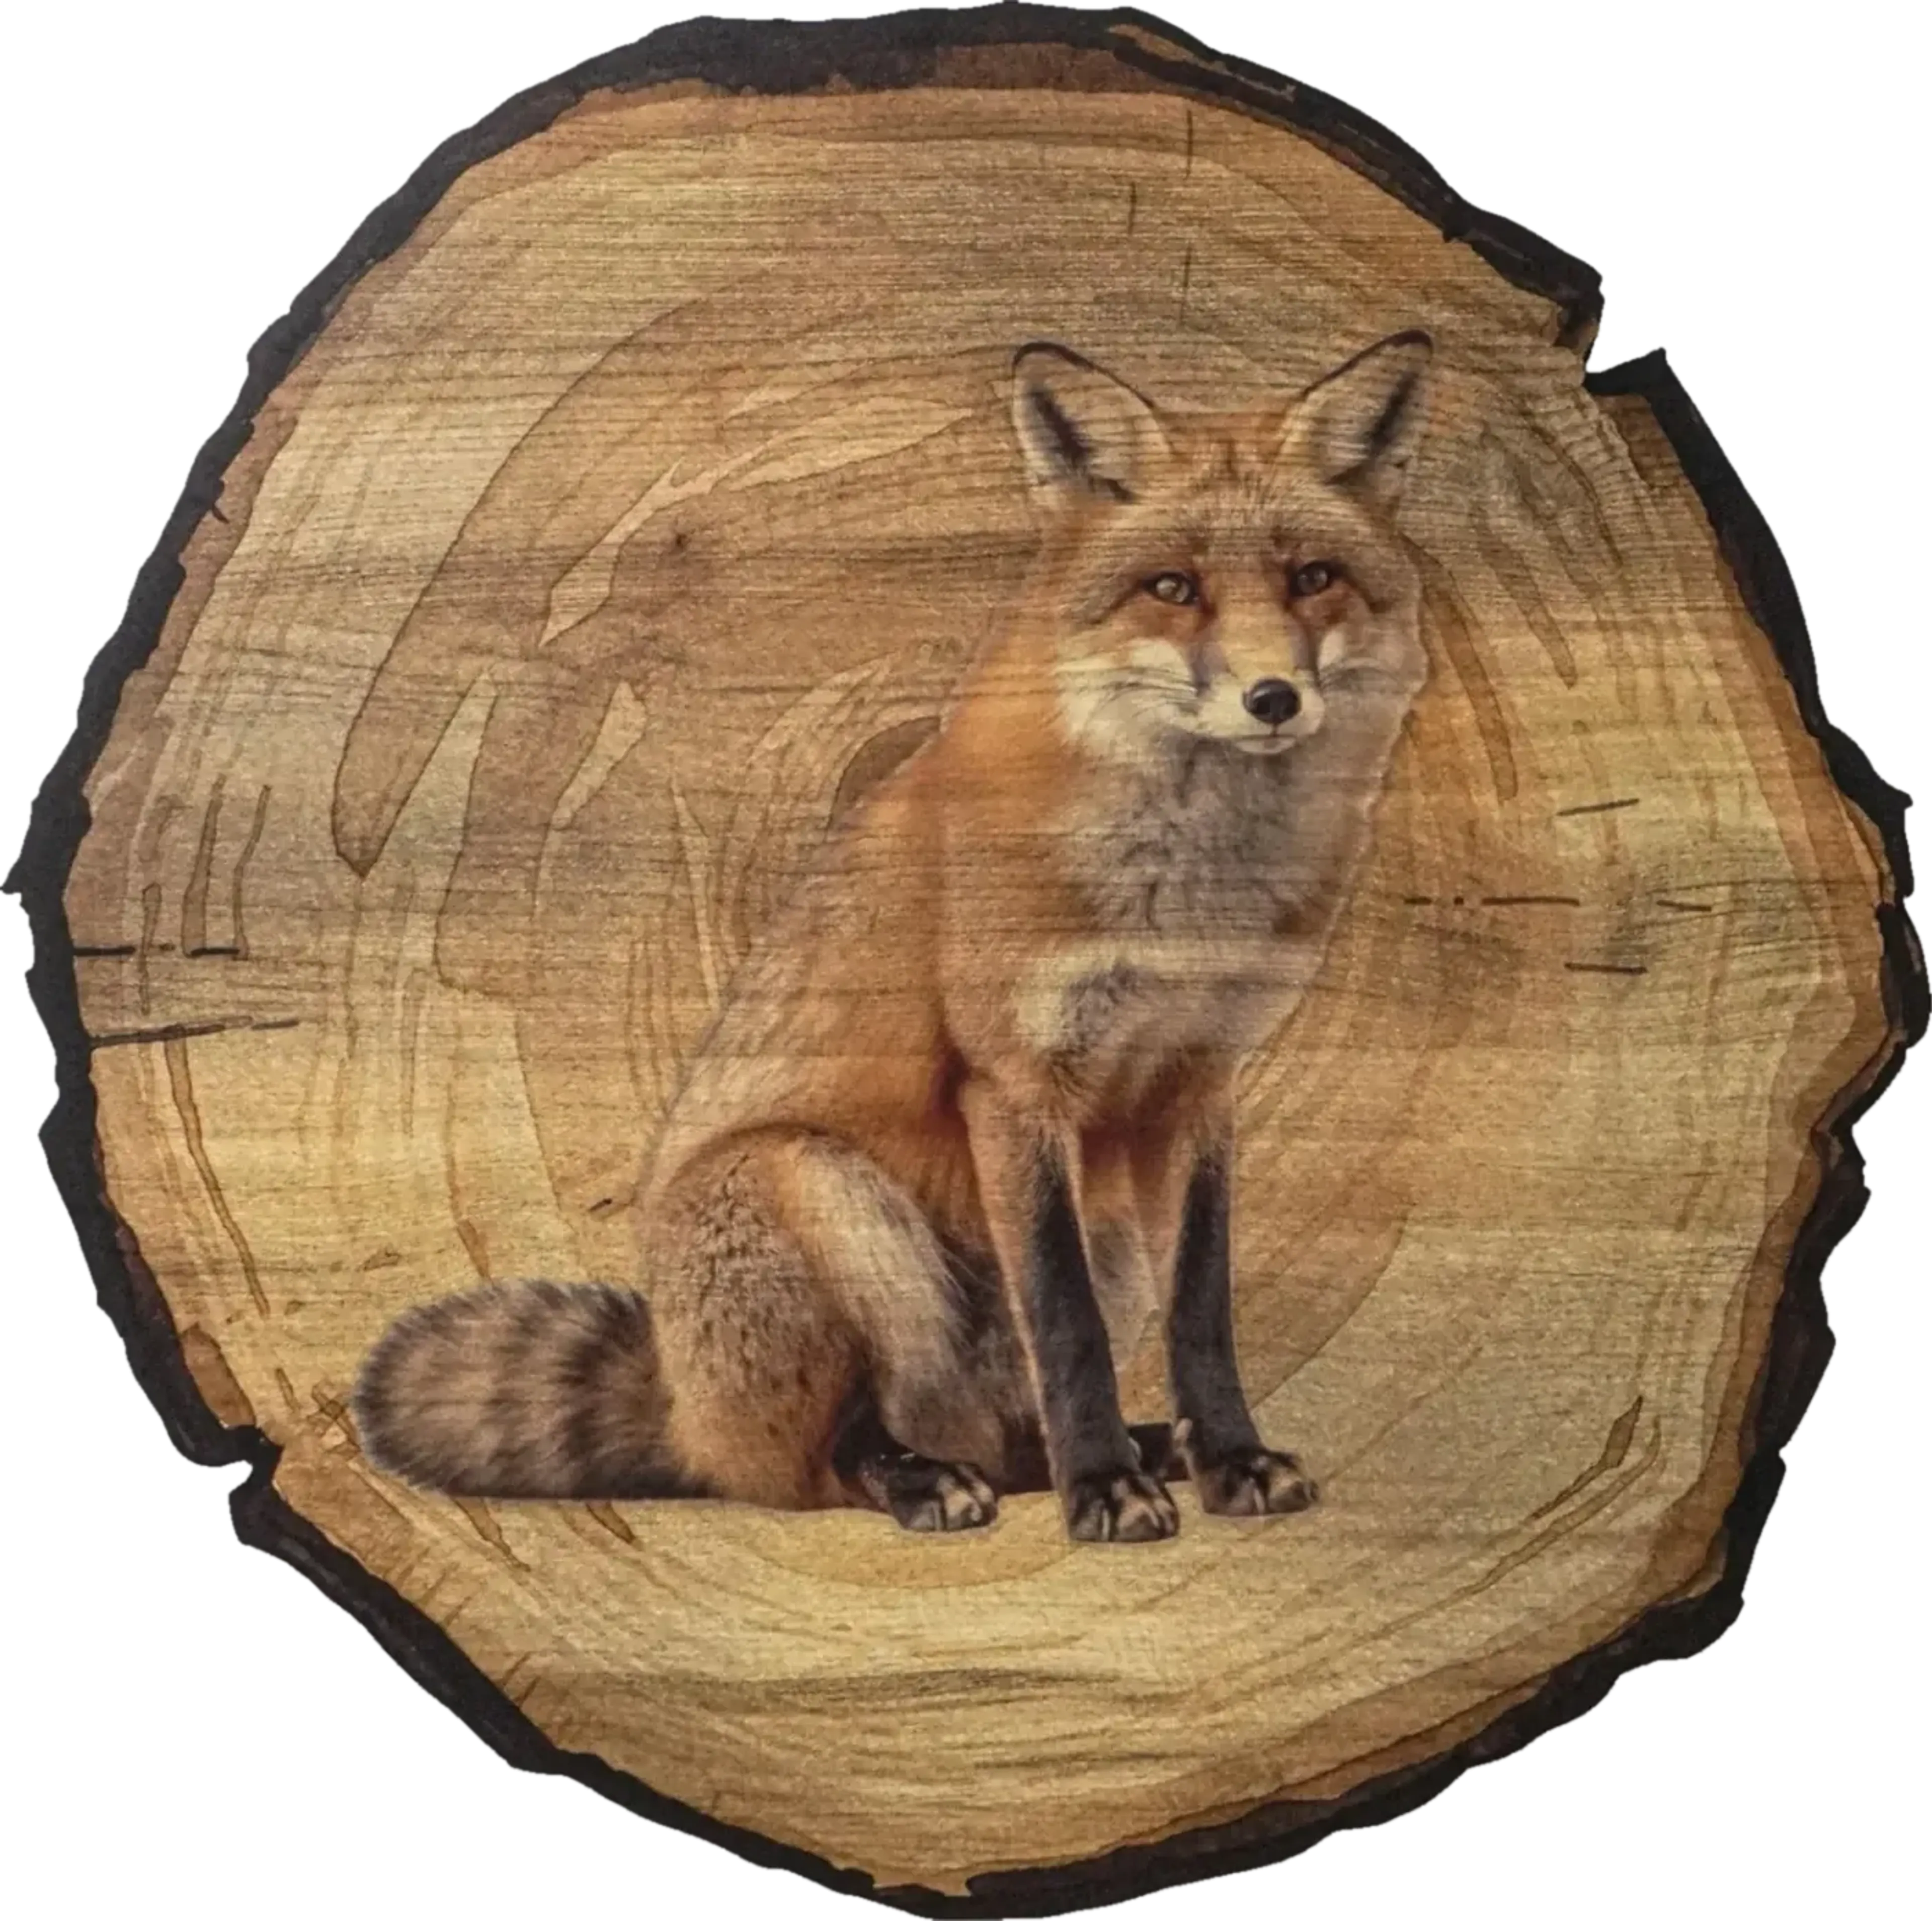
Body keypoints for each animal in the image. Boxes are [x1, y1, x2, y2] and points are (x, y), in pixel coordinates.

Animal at [353, 328, 1436, 1543]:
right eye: (1174, 588)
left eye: (1312, 577)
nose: (1273, 698)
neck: (1193, 891)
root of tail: (683, 1401)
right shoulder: (1012, 1083)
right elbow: (1066, 1324)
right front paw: (1106, 1488)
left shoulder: (1197, 1082)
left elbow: (1202, 1309)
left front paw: (1229, 1457)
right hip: (817, 1188)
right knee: (825, 1462)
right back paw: (936, 1478)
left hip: (1096, 1231)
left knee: (1005, 1435)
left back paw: (1128, 1450)